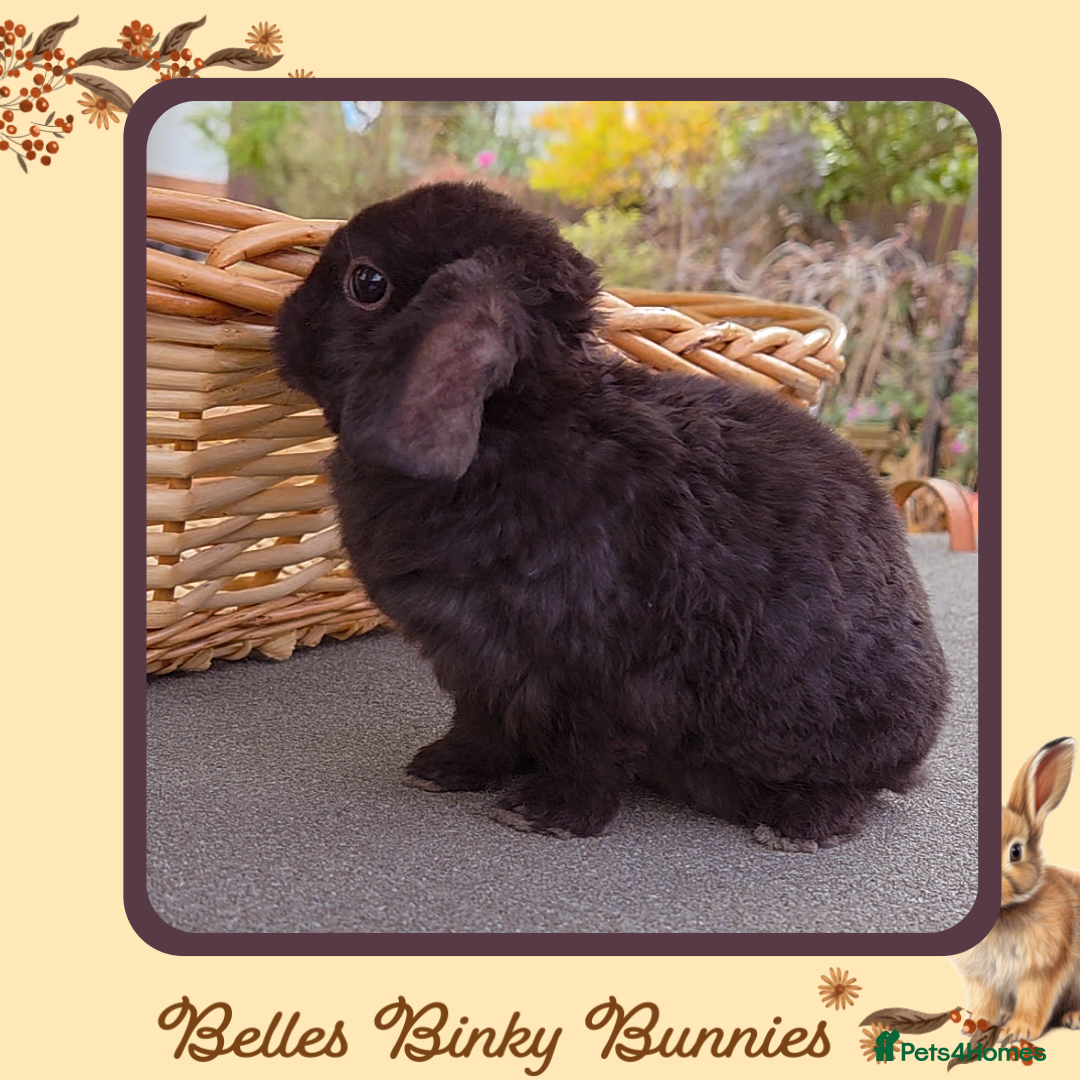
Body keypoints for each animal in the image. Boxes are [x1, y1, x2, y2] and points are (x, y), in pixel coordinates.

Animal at [274, 181, 949, 847]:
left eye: (367, 282)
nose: (282, 321)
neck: (513, 425)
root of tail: (921, 744)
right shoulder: (475, 666)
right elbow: (480, 728)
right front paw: (440, 770)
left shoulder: (604, 679)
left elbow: (590, 754)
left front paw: (545, 814)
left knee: (852, 794)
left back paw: (798, 825)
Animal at [952, 737, 1080, 1041]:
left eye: (1016, 851)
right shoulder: (983, 977)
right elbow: (983, 1001)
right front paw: (973, 1028)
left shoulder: (1041, 971)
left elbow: (1034, 1001)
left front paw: (1017, 1032)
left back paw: (1073, 1018)